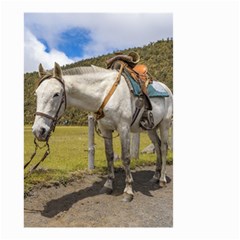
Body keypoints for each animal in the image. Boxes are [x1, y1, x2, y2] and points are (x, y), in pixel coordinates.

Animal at [32, 62, 173, 202]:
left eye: (56, 94)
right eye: (36, 94)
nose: (38, 130)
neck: (104, 94)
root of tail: (167, 89)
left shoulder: (124, 128)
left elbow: (126, 158)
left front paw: (128, 190)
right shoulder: (106, 129)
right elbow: (109, 155)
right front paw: (108, 185)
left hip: (164, 125)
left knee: (164, 148)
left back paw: (162, 179)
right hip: (151, 128)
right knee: (157, 146)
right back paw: (155, 176)